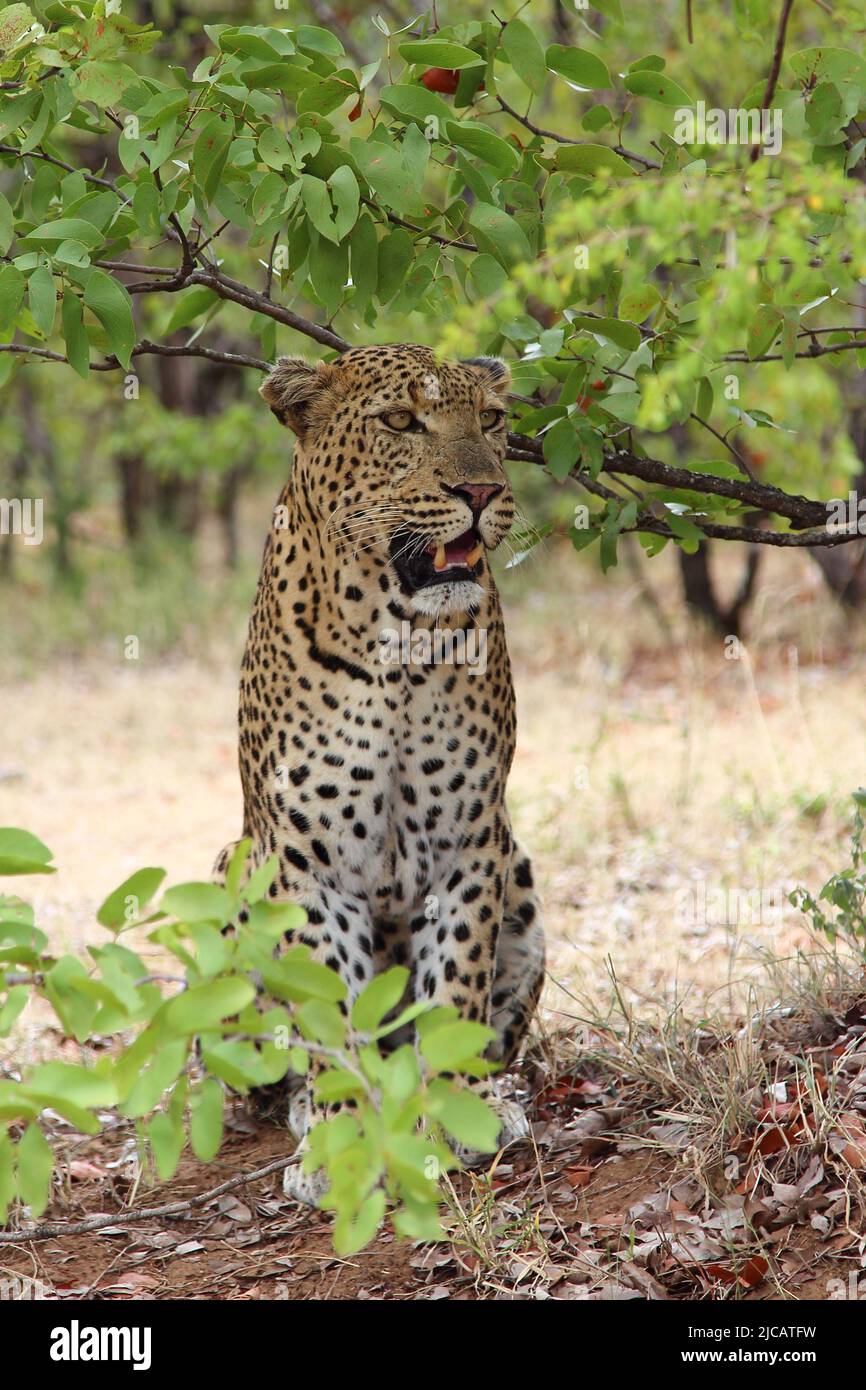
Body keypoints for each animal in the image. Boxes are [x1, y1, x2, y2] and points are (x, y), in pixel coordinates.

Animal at [214, 343, 545, 1204]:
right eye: (401, 421)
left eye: (491, 421)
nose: (481, 491)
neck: (401, 645)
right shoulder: (307, 857)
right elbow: (333, 1011)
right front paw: (337, 1138)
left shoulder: (470, 839)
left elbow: (456, 986)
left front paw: (456, 1113)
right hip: (236, 868)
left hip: (521, 870)